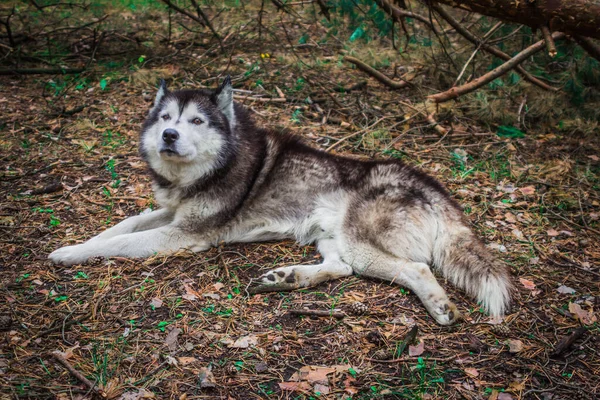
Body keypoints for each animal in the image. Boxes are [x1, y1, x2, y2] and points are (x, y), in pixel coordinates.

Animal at [49, 78, 512, 324]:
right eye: (165, 118)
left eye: (196, 121)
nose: (169, 135)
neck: (213, 166)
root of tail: (435, 188)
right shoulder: (169, 212)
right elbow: (122, 225)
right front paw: (77, 243)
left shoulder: (183, 234)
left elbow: (121, 242)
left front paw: (70, 254)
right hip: (330, 236)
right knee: (340, 268)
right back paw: (286, 278)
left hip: (360, 243)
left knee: (415, 268)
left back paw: (440, 307)